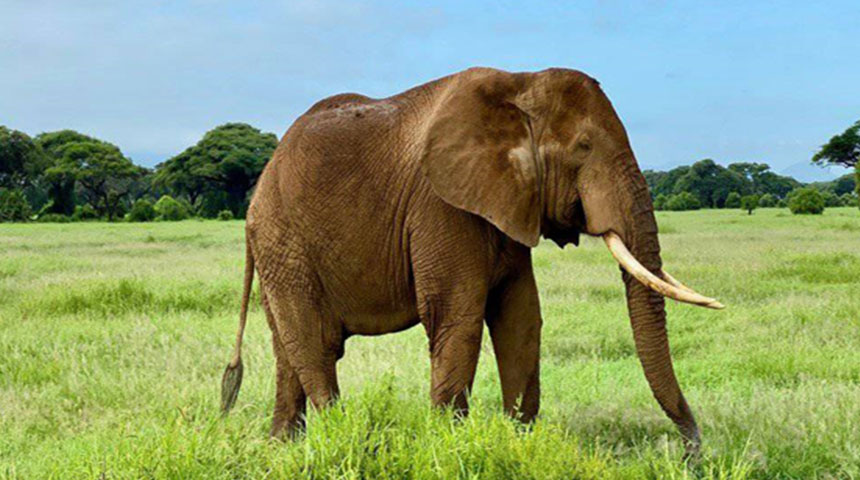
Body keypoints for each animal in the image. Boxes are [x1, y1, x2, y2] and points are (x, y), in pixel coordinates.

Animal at [220, 67, 723, 454]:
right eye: (583, 147)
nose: (691, 452)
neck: (521, 84)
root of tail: (262, 181)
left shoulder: (510, 202)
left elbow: (521, 317)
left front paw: (519, 443)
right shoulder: (440, 204)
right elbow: (455, 316)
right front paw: (449, 447)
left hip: (279, 249)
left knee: (287, 348)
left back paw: (282, 447)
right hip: (285, 243)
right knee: (315, 344)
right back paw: (342, 439)